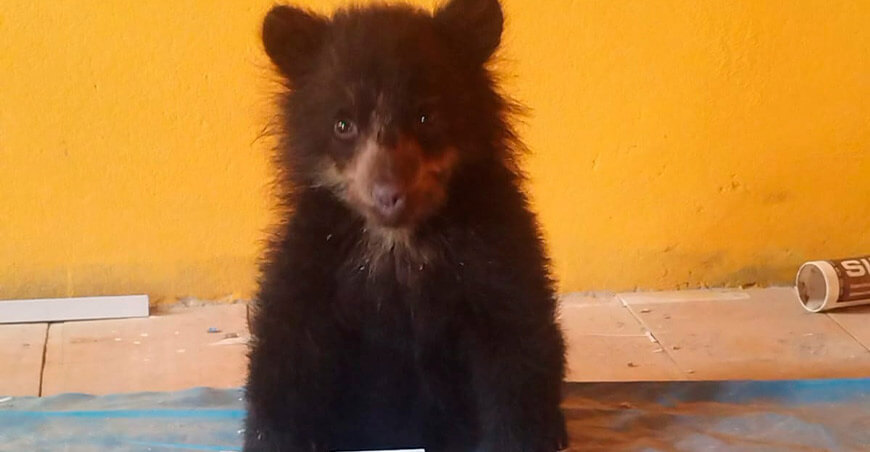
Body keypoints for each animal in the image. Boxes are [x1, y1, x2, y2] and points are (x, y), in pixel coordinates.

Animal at [244, 0, 568, 450]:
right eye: (343, 125)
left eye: (426, 116)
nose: (389, 194)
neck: (398, 240)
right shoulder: (312, 254)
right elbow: (286, 351)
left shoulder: (497, 248)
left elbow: (515, 345)